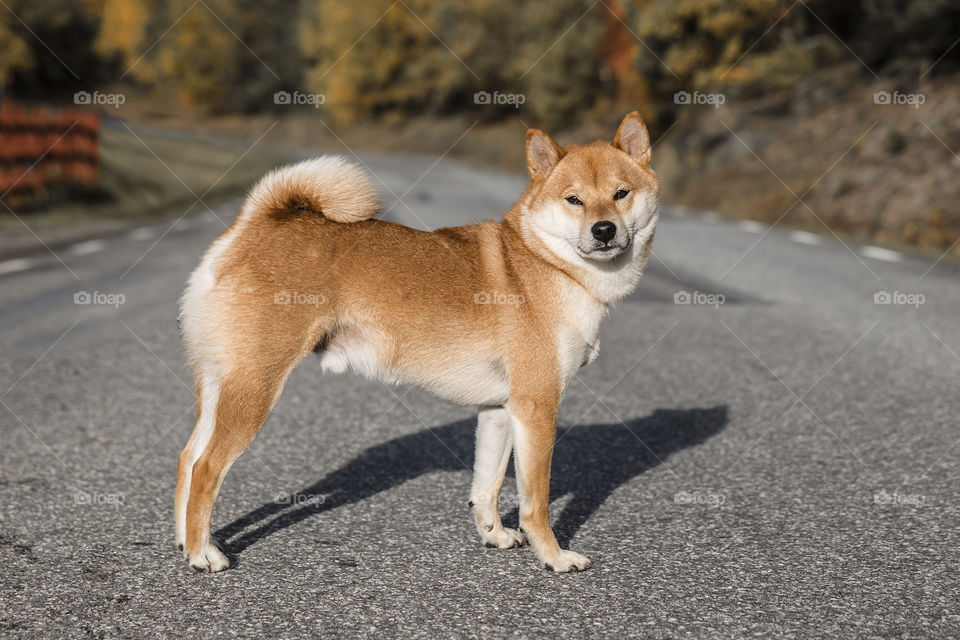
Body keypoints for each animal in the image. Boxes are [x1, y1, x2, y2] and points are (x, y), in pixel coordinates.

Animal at [176, 111, 660, 576]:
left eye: (621, 193)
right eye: (573, 199)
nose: (603, 230)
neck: (549, 264)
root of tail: (252, 225)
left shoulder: (499, 410)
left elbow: (486, 486)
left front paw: (495, 536)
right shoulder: (537, 407)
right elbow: (535, 502)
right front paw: (555, 557)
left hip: (222, 386)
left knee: (187, 458)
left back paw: (186, 542)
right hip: (256, 389)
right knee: (206, 467)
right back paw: (204, 555)